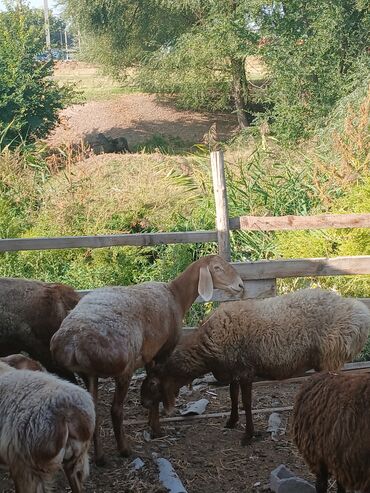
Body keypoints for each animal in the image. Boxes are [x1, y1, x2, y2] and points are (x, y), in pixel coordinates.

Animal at [50, 256, 244, 464]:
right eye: (217, 268)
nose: (241, 285)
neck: (176, 295)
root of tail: (73, 343)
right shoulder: (163, 351)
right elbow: (157, 387)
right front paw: (157, 429)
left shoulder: (150, 355)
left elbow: (151, 384)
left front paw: (151, 421)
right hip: (123, 369)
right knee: (116, 410)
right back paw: (124, 449)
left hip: (88, 374)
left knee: (94, 411)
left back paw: (100, 457)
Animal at [141, 288, 370, 446]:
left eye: (152, 383)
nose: (143, 403)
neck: (207, 350)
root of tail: (360, 314)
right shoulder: (233, 370)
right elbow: (233, 397)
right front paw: (232, 421)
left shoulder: (245, 371)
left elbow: (247, 403)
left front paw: (248, 436)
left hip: (332, 357)